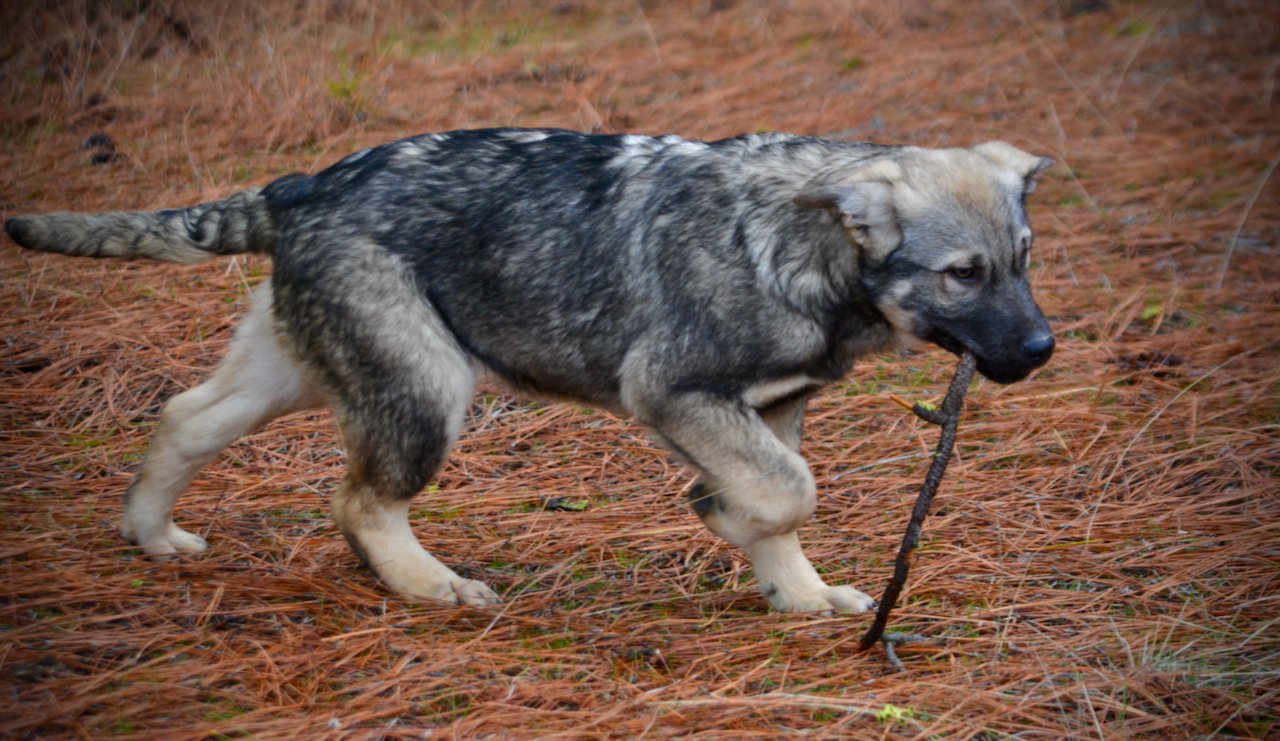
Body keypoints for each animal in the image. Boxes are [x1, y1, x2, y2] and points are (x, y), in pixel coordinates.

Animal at [5, 127, 1054, 614]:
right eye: (964, 274)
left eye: (1025, 258)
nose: (1043, 349)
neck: (800, 245)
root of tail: (304, 185)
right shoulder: (675, 391)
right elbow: (788, 491)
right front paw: (725, 516)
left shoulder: (776, 405)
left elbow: (783, 502)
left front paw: (795, 594)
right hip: (426, 388)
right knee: (360, 501)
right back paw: (429, 585)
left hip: (299, 369)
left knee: (187, 415)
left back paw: (151, 534)